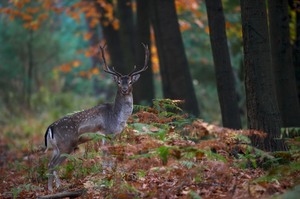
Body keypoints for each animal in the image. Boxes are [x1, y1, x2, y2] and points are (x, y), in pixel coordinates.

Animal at [44, 43, 149, 191]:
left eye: (130, 82)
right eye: (118, 82)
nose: (124, 89)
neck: (117, 117)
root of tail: (50, 128)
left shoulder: (111, 135)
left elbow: (106, 155)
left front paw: (108, 175)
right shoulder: (108, 132)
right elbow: (107, 156)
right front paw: (108, 177)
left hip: (56, 147)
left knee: (51, 163)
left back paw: (58, 186)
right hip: (66, 144)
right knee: (52, 164)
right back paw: (52, 189)